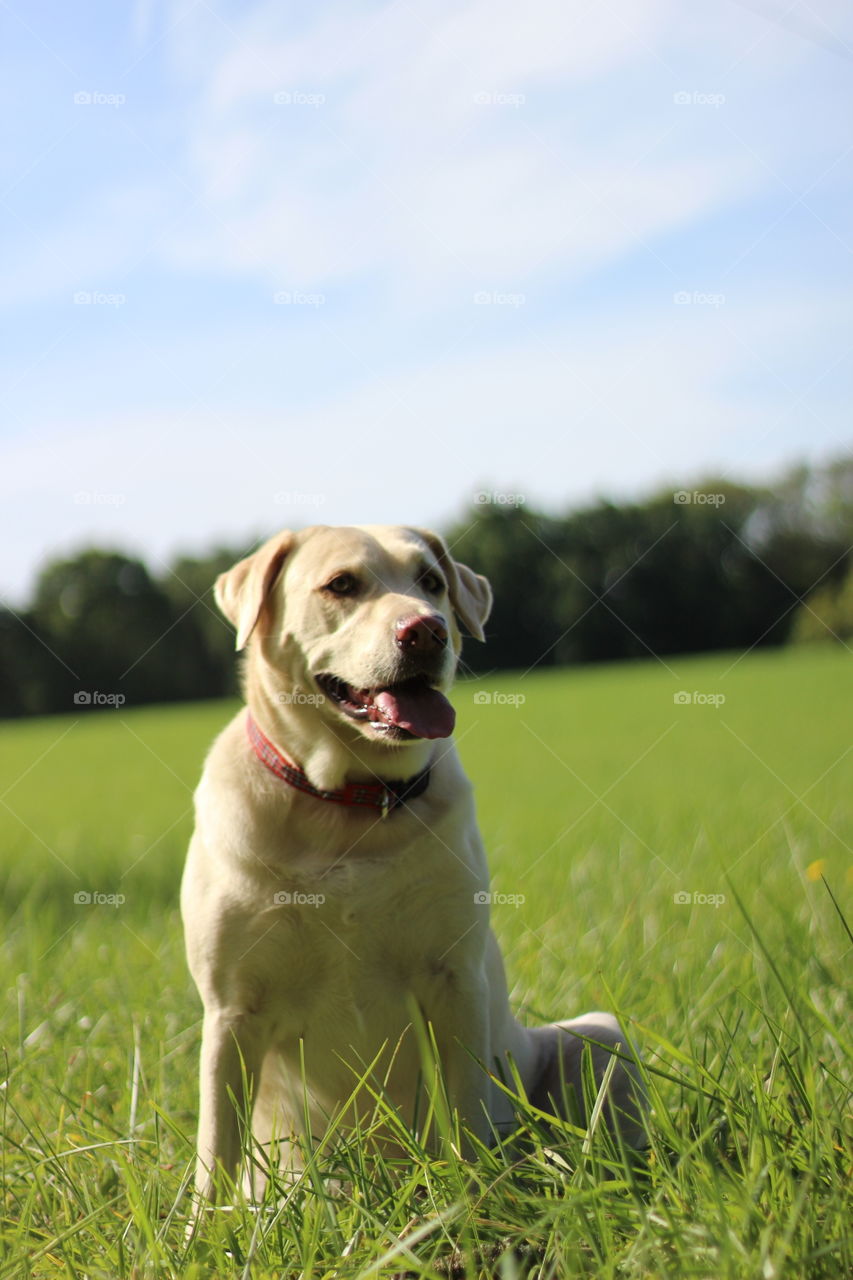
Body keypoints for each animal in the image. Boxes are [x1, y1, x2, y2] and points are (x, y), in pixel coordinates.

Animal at [180, 522, 645, 1198]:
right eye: (341, 584)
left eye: (430, 581)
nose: (427, 630)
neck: (347, 803)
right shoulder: (233, 1009)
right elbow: (216, 1147)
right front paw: (205, 1225)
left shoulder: (454, 979)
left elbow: (467, 1113)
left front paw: (477, 1199)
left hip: (595, 1033)